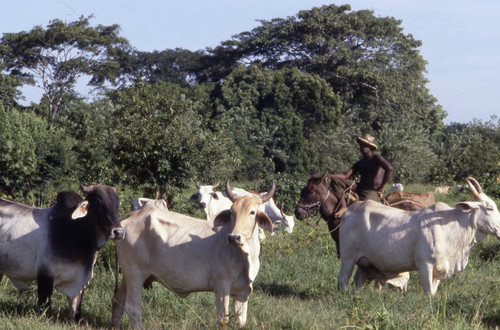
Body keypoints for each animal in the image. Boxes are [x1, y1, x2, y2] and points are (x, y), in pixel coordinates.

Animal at [338, 177, 498, 296]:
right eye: (489, 208)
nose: (499, 230)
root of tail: (349, 211)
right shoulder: (425, 265)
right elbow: (428, 293)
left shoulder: (438, 269)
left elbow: (433, 292)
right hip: (348, 258)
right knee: (343, 280)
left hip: (364, 262)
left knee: (358, 279)